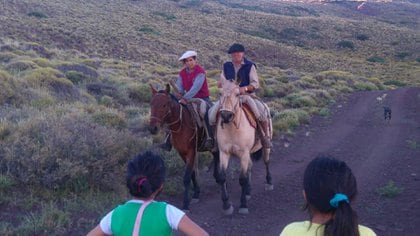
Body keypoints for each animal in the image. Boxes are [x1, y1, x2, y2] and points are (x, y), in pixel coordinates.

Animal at [212, 80, 274, 215]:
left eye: (237, 94)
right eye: (220, 93)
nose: (226, 116)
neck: (233, 129)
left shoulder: (244, 153)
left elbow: (242, 179)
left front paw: (243, 205)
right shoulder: (224, 153)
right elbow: (223, 177)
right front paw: (226, 205)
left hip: (265, 146)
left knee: (266, 161)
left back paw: (269, 182)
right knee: (250, 166)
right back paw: (248, 190)